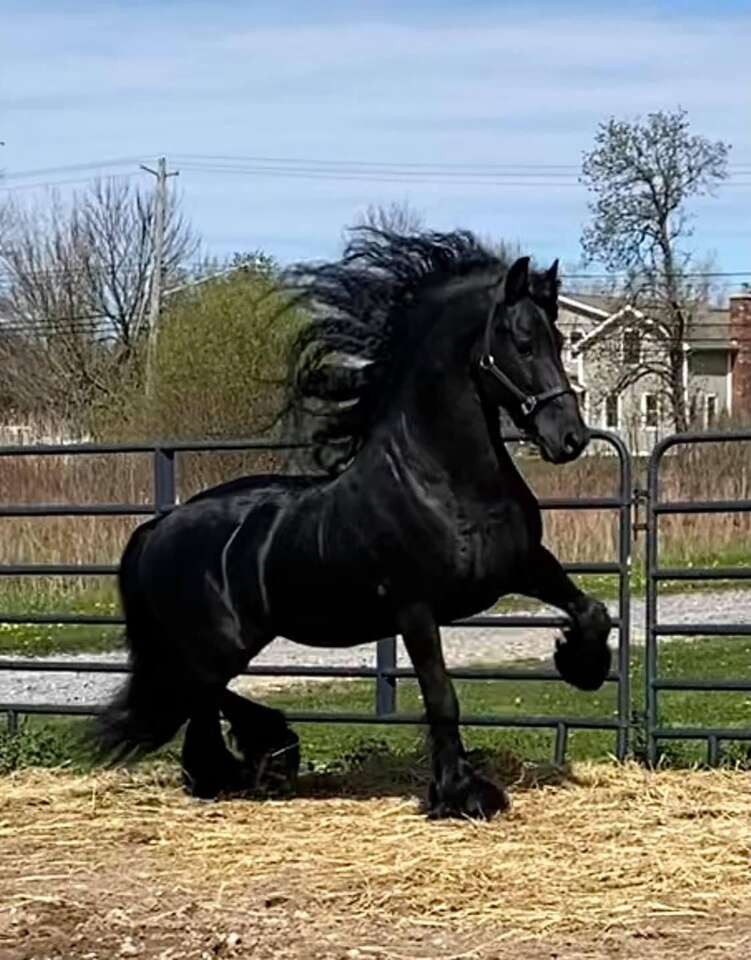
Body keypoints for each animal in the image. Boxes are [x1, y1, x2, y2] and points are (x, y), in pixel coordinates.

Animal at [96, 229, 611, 820]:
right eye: (522, 341)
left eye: (560, 339)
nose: (569, 438)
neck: (441, 479)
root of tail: (156, 529)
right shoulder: (416, 608)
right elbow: (442, 696)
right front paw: (464, 794)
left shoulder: (524, 567)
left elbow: (593, 611)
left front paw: (580, 663)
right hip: (218, 641)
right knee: (195, 690)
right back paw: (268, 752)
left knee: (198, 704)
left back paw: (242, 769)